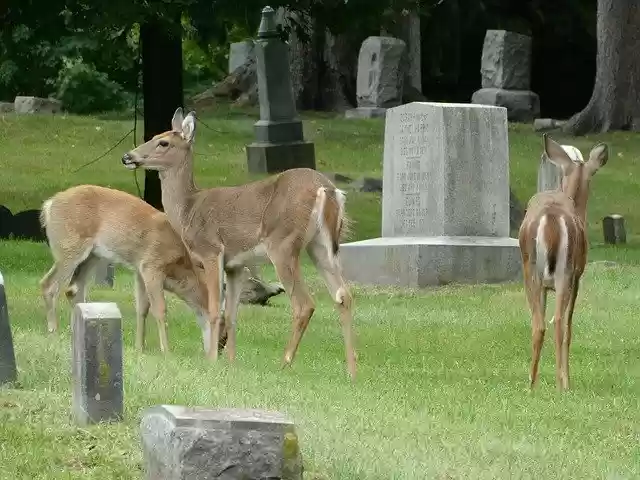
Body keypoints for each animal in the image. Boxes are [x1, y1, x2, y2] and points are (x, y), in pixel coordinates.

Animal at [40, 182, 224, 354]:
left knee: (73, 290)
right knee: (49, 285)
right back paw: (53, 332)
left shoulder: (139, 271)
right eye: (222, 326)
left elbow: (142, 308)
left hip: (92, 256)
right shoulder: (151, 265)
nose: (219, 350)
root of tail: (49, 205)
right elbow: (160, 309)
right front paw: (166, 351)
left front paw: (139, 348)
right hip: (69, 248)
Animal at [121, 107, 360, 380]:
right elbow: (232, 312)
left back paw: (284, 364)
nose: (127, 156)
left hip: (283, 243)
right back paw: (352, 371)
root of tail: (328, 190)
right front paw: (231, 362)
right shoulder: (234, 265)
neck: (187, 210)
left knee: (304, 304)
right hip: (321, 245)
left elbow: (215, 308)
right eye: (153, 136)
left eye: (163, 142)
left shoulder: (211, 251)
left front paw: (212, 360)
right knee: (343, 295)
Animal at [516, 133, 608, 392]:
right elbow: (569, 326)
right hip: (564, 272)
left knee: (539, 324)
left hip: (532, 272)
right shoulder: (577, 276)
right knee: (558, 323)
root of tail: (551, 216)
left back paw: (531, 383)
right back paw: (561, 384)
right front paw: (567, 378)